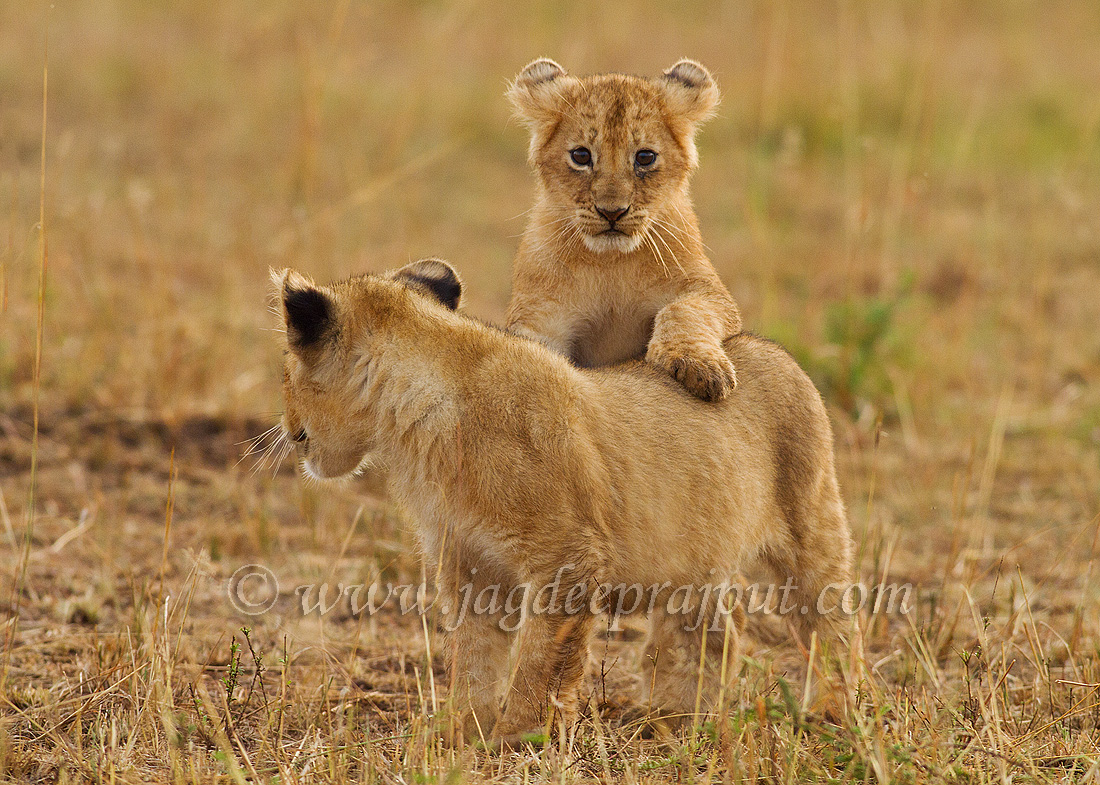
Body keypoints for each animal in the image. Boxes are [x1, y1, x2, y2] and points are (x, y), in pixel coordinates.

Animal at [271, 260, 851, 747]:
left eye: (287, 369)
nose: (287, 426)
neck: (417, 425)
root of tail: (768, 347)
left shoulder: (565, 558)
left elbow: (539, 662)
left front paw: (519, 738)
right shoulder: (470, 564)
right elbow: (474, 659)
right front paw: (460, 734)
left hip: (812, 524)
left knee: (831, 623)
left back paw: (834, 712)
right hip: (695, 560)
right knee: (714, 635)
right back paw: (673, 723)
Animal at [505, 58, 743, 402]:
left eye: (645, 157)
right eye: (581, 155)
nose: (612, 212)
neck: (611, 262)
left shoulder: (709, 291)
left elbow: (684, 309)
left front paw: (700, 368)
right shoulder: (540, 314)